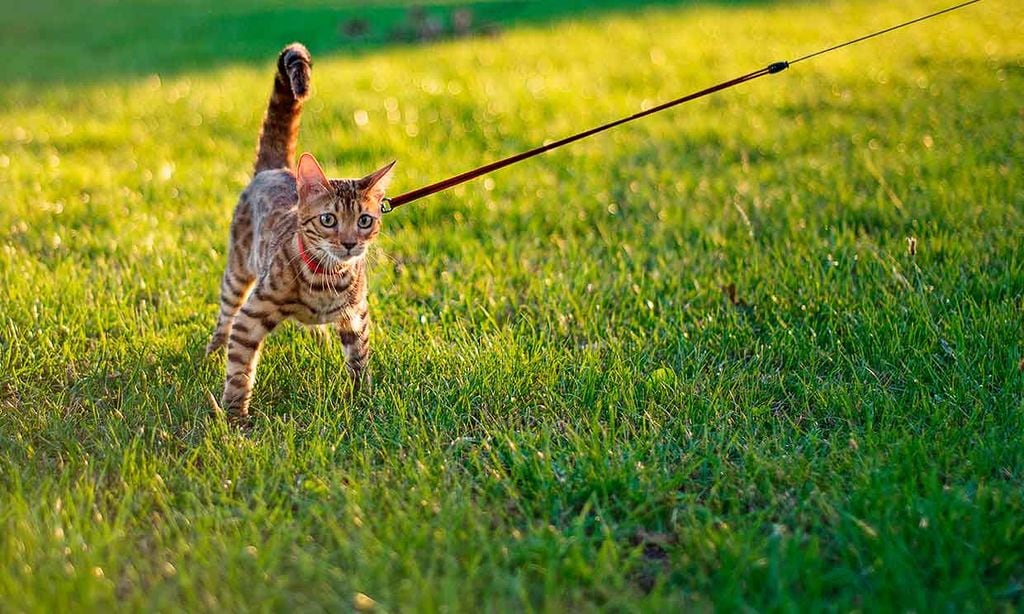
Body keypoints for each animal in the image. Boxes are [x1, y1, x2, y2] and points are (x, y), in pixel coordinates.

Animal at [205, 41, 393, 417]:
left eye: (365, 220)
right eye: (328, 219)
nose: (349, 243)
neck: (326, 279)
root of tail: (275, 169)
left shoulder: (356, 316)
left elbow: (359, 360)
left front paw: (363, 400)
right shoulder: (251, 316)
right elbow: (239, 369)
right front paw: (234, 416)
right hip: (238, 269)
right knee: (226, 313)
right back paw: (213, 349)